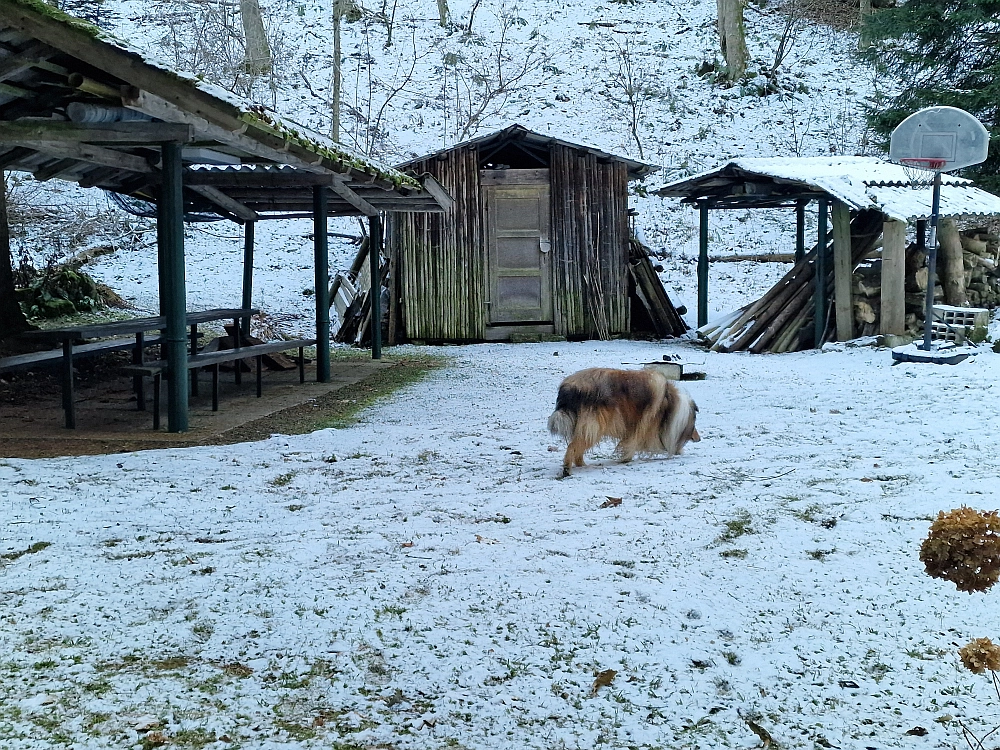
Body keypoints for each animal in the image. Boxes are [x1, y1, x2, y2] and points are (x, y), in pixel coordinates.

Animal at [548, 368, 704, 478]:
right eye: (694, 425)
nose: (699, 439)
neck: (671, 406)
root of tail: (570, 386)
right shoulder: (644, 424)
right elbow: (636, 442)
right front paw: (626, 458)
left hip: (588, 427)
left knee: (577, 447)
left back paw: (582, 465)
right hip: (595, 426)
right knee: (573, 446)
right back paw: (567, 469)